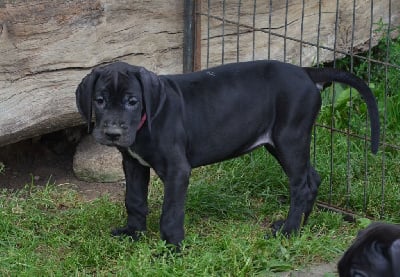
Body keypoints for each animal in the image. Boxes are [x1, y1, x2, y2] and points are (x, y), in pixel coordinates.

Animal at [74, 59, 378, 246]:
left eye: (132, 101)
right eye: (99, 100)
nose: (112, 133)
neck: (148, 118)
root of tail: (307, 72)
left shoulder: (177, 170)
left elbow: (171, 212)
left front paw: (171, 247)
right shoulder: (134, 164)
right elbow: (134, 200)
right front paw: (133, 233)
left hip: (289, 138)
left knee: (301, 186)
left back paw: (289, 231)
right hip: (281, 143)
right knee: (311, 179)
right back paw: (302, 224)